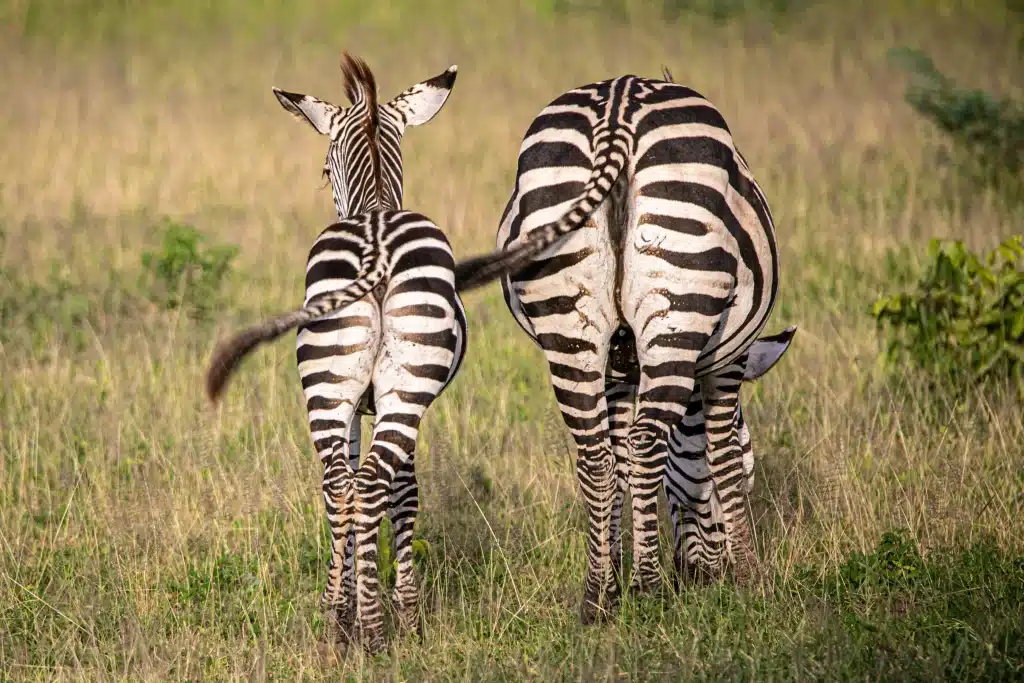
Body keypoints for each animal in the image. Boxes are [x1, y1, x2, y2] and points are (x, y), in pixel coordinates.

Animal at [205, 52, 462, 651]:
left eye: (324, 171)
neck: (375, 202)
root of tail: (375, 247)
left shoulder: (361, 405)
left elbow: (355, 492)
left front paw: (351, 606)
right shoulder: (383, 405)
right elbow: (403, 494)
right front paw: (405, 614)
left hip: (327, 384)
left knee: (341, 486)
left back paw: (339, 624)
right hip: (396, 390)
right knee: (363, 488)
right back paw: (371, 628)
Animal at [452, 70, 778, 626]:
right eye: (755, 461)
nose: (702, 577)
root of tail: (618, 109)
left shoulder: (618, 369)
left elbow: (620, 457)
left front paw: (617, 570)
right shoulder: (728, 360)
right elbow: (722, 457)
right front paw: (750, 577)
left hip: (569, 323)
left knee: (595, 456)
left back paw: (596, 596)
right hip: (677, 301)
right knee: (646, 444)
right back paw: (649, 591)